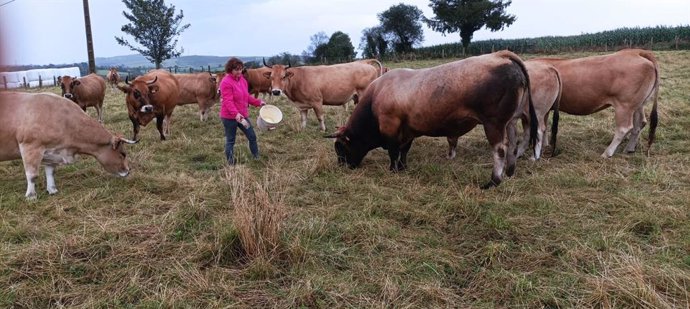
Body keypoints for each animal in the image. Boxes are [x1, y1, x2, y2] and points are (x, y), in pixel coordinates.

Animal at [0, 91, 136, 200]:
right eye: (123, 154)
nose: (128, 170)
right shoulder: (31, 147)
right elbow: (32, 175)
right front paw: (31, 196)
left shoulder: (51, 152)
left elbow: (50, 171)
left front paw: (52, 190)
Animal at [326, 50, 536, 188]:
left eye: (340, 147)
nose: (343, 166)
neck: (376, 96)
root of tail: (500, 55)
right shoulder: (408, 130)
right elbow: (403, 150)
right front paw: (402, 167)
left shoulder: (390, 126)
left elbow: (393, 151)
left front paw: (393, 169)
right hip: (510, 121)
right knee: (513, 145)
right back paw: (510, 172)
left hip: (494, 123)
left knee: (500, 150)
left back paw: (493, 181)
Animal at [528, 49, 660, 159]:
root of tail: (635, 52)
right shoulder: (546, 108)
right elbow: (545, 126)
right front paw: (545, 145)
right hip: (638, 104)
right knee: (640, 123)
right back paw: (629, 148)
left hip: (624, 105)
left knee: (624, 128)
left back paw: (607, 153)